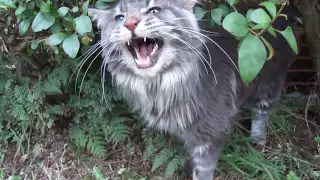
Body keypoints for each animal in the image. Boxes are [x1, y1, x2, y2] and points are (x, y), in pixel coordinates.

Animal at [88, 0, 300, 179]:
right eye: (119, 17)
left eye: (154, 10)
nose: (130, 23)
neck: (159, 87)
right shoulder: (186, 132)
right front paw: (185, 167)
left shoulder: (210, 134)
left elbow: (202, 170)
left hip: (268, 83)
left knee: (261, 113)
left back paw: (257, 141)